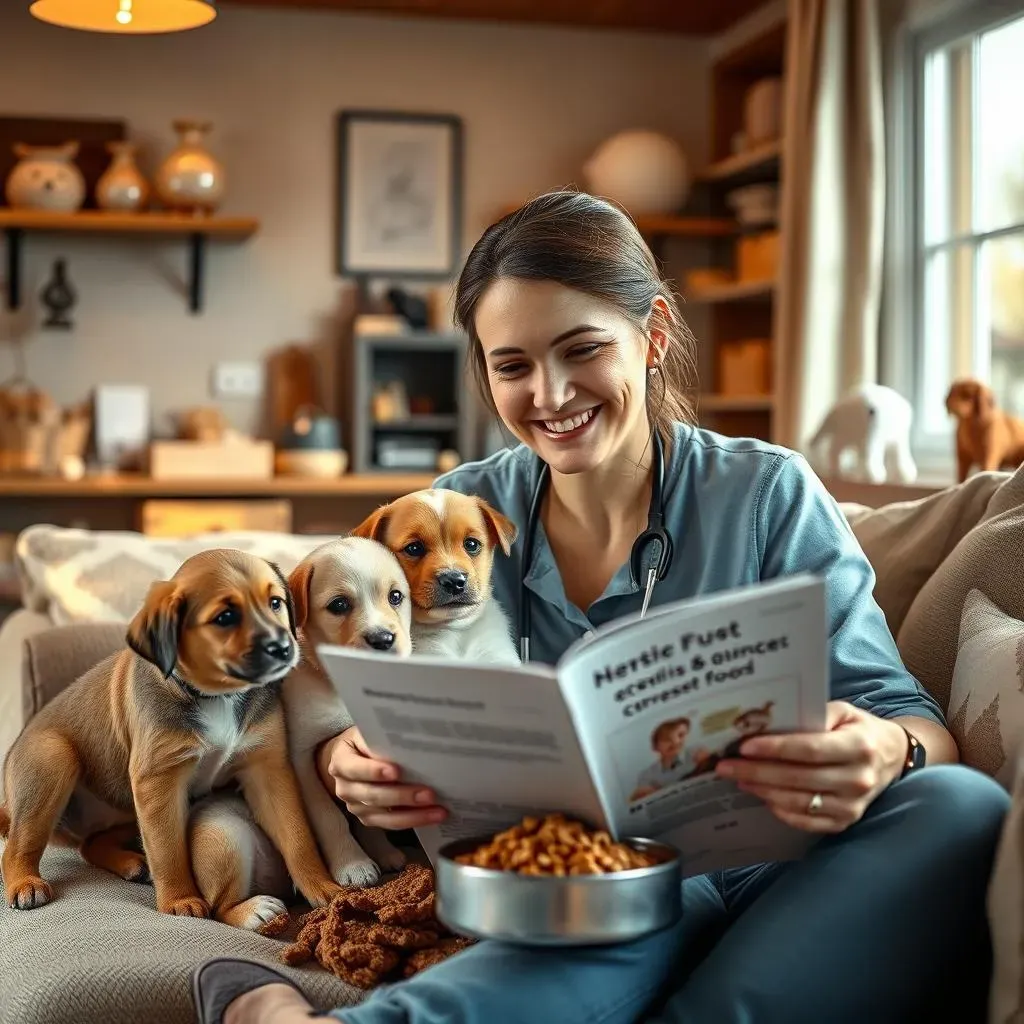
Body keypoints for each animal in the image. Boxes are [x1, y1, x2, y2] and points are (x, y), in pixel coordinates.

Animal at [0, 548, 344, 925]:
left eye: (276, 603)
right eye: (225, 617)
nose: (283, 647)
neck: (217, 696)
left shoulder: (267, 769)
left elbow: (298, 837)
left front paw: (323, 887)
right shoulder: (159, 781)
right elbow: (168, 849)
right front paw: (180, 900)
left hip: (124, 808)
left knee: (91, 843)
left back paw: (131, 864)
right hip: (51, 763)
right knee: (18, 845)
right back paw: (25, 883)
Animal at [282, 536, 413, 888]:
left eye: (395, 597)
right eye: (339, 605)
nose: (383, 639)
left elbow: (367, 815)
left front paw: (381, 850)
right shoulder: (301, 759)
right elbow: (329, 818)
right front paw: (351, 864)